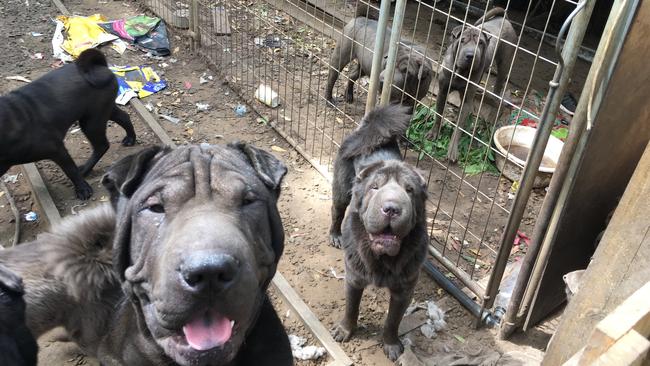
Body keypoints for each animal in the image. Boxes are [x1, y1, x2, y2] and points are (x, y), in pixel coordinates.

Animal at [0, 48, 135, 200]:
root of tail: (99, 67)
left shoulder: (57, 150)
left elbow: (71, 170)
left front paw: (82, 189)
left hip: (92, 122)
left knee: (101, 146)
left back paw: (85, 169)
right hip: (102, 111)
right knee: (124, 117)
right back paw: (131, 138)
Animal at [326, 105, 428, 360]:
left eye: (409, 190)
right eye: (375, 187)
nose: (391, 208)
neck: (381, 260)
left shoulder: (404, 289)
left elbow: (393, 320)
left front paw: (391, 346)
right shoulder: (354, 277)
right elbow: (351, 308)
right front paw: (344, 331)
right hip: (341, 189)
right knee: (336, 210)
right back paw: (335, 235)